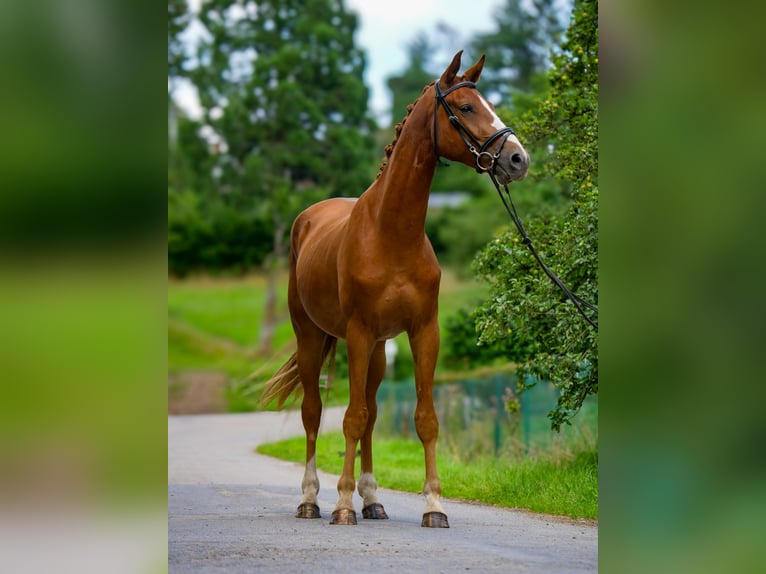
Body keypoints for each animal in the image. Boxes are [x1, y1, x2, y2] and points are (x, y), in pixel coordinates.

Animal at [262, 51, 528, 528]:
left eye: (489, 104)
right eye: (465, 108)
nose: (518, 159)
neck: (391, 234)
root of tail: (307, 218)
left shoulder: (424, 333)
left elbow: (424, 419)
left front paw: (434, 505)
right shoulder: (359, 333)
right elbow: (349, 418)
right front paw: (342, 506)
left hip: (381, 352)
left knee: (370, 413)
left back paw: (373, 500)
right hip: (312, 337)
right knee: (314, 413)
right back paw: (311, 500)